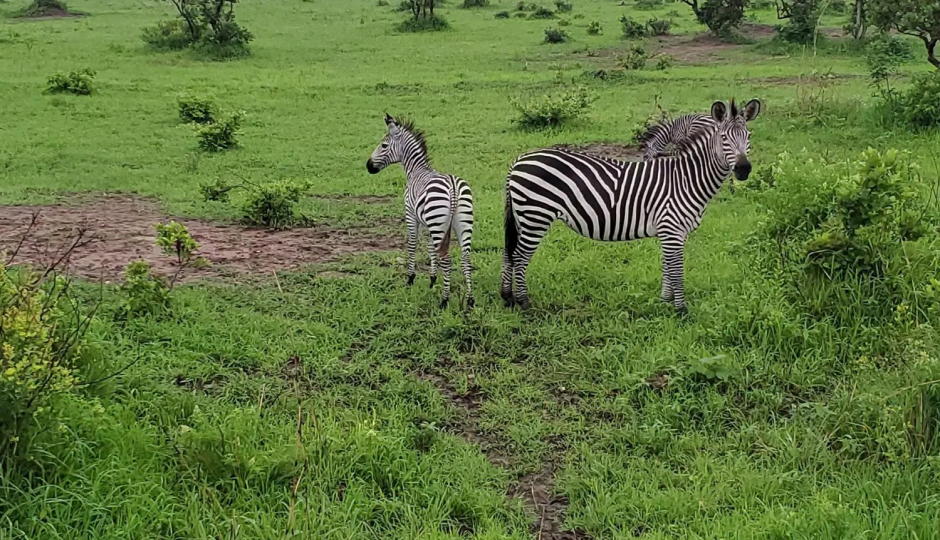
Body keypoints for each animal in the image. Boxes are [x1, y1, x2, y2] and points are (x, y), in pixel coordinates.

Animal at [366, 114, 474, 308]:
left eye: (384, 145)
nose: (368, 166)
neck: (416, 170)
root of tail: (454, 187)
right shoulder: (428, 222)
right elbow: (431, 248)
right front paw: (432, 279)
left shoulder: (411, 215)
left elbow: (412, 244)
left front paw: (410, 278)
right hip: (461, 222)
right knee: (466, 259)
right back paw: (470, 300)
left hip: (439, 222)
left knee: (447, 260)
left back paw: (444, 300)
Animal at [504, 99, 760, 314]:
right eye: (724, 138)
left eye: (748, 136)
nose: (743, 169)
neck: (686, 179)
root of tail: (519, 160)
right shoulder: (672, 230)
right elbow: (677, 270)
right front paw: (681, 310)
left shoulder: (671, 231)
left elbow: (667, 266)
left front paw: (664, 301)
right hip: (536, 215)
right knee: (519, 256)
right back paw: (523, 302)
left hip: (522, 216)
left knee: (509, 253)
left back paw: (507, 298)